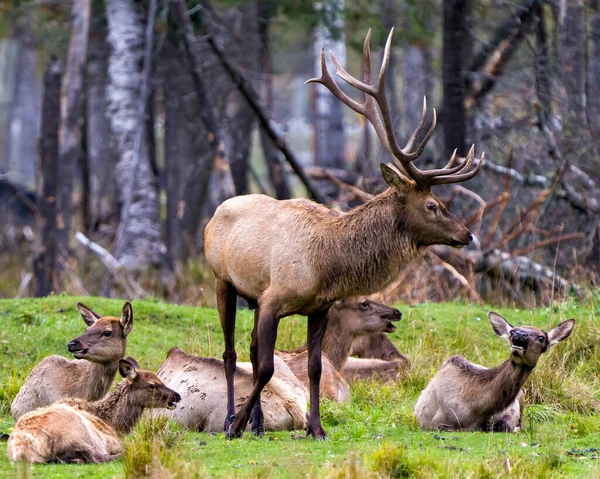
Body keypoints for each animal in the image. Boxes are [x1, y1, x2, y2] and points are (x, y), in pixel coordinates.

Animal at [7, 356, 180, 464]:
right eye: (152, 385)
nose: (177, 396)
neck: (114, 424)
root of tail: (23, 446)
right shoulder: (111, 442)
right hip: (80, 433)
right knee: (98, 457)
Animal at [204, 26, 486, 438]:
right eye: (432, 205)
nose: (467, 234)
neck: (327, 264)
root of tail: (215, 212)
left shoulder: (318, 307)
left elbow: (314, 367)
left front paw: (316, 428)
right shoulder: (274, 298)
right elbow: (268, 366)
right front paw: (236, 425)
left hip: (252, 297)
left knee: (252, 349)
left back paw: (256, 423)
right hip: (222, 280)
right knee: (231, 352)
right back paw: (231, 420)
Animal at [414, 314, 576, 434]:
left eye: (541, 337)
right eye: (511, 332)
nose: (519, 334)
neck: (475, 410)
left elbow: (509, 427)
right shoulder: (437, 423)